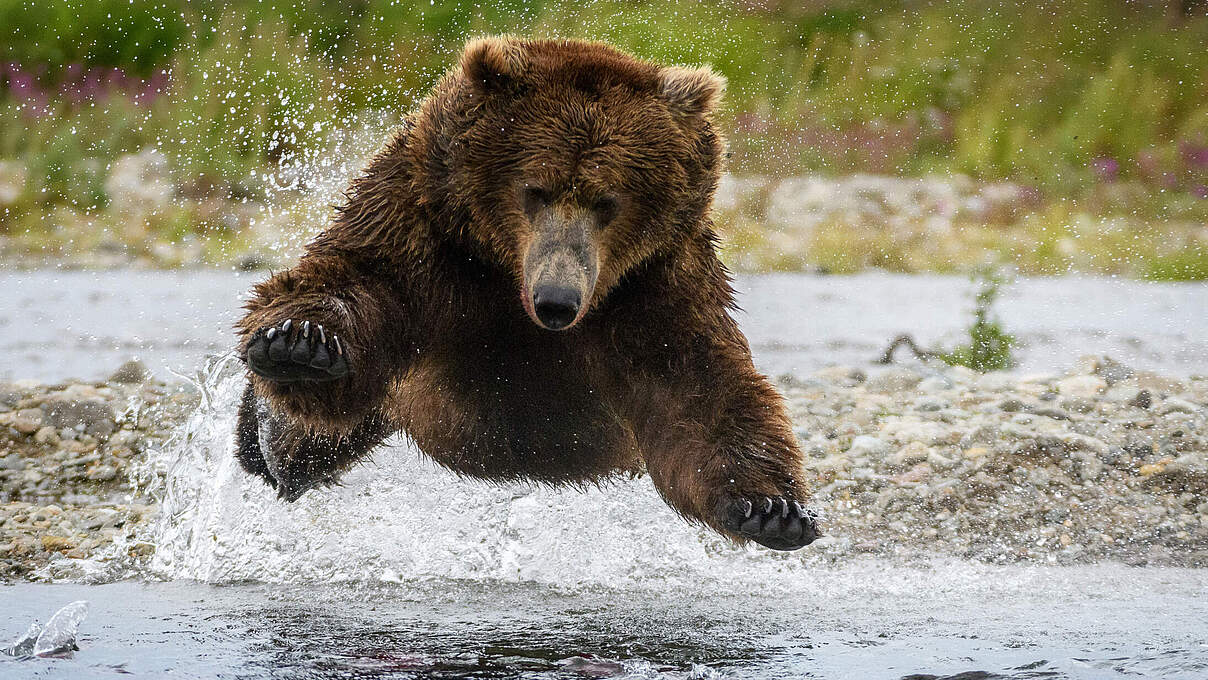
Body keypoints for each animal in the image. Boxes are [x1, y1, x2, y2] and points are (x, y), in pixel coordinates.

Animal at [233, 35, 821, 553]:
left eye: (607, 201)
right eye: (535, 189)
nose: (556, 300)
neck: (505, 274)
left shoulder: (654, 283)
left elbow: (698, 385)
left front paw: (772, 509)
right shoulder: (426, 232)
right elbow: (361, 281)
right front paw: (299, 344)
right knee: (307, 435)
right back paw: (269, 430)